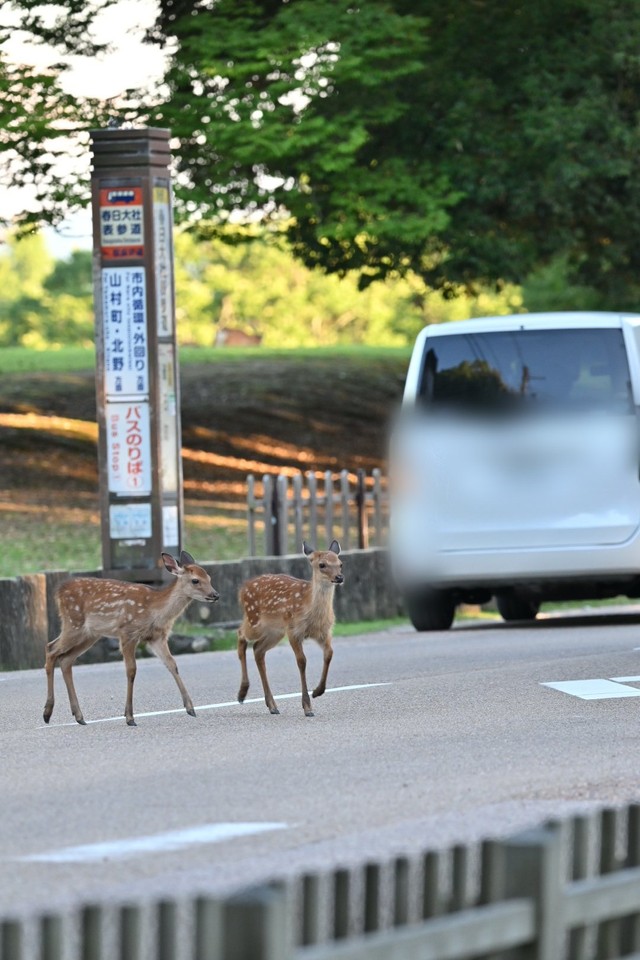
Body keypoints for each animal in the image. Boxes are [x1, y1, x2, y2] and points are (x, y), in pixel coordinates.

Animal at [42, 552, 219, 724]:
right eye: (195, 580)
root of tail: (59, 591)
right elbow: (131, 670)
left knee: (65, 659)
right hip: (74, 623)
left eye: (209, 578)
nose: (215, 595)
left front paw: (190, 708)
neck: (156, 611)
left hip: (90, 634)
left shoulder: (157, 637)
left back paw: (79, 716)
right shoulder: (127, 632)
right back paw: (47, 712)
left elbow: (172, 664)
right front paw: (129, 717)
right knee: (51, 649)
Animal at [236, 536, 344, 716]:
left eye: (340, 563)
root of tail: (242, 589)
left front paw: (317, 691)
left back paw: (272, 705)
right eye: (322, 565)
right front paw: (307, 706)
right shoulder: (293, 630)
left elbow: (329, 654)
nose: (339, 577)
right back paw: (242, 693)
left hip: (275, 631)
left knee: (258, 650)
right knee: (240, 634)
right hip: (255, 620)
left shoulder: (323, 632)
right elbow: (302, 661)